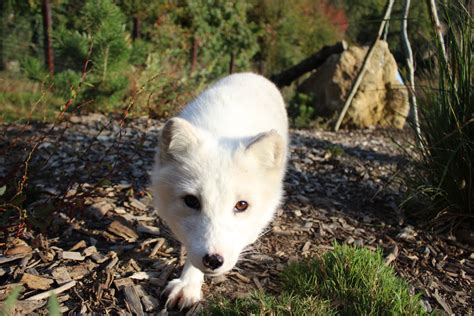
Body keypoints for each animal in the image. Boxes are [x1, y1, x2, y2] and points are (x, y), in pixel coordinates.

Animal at [152, 71, 286, 308]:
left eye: (242, 205)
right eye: (192, 201)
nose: (213, 260)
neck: (224, 129)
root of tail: (252, 74)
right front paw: (189, 283)